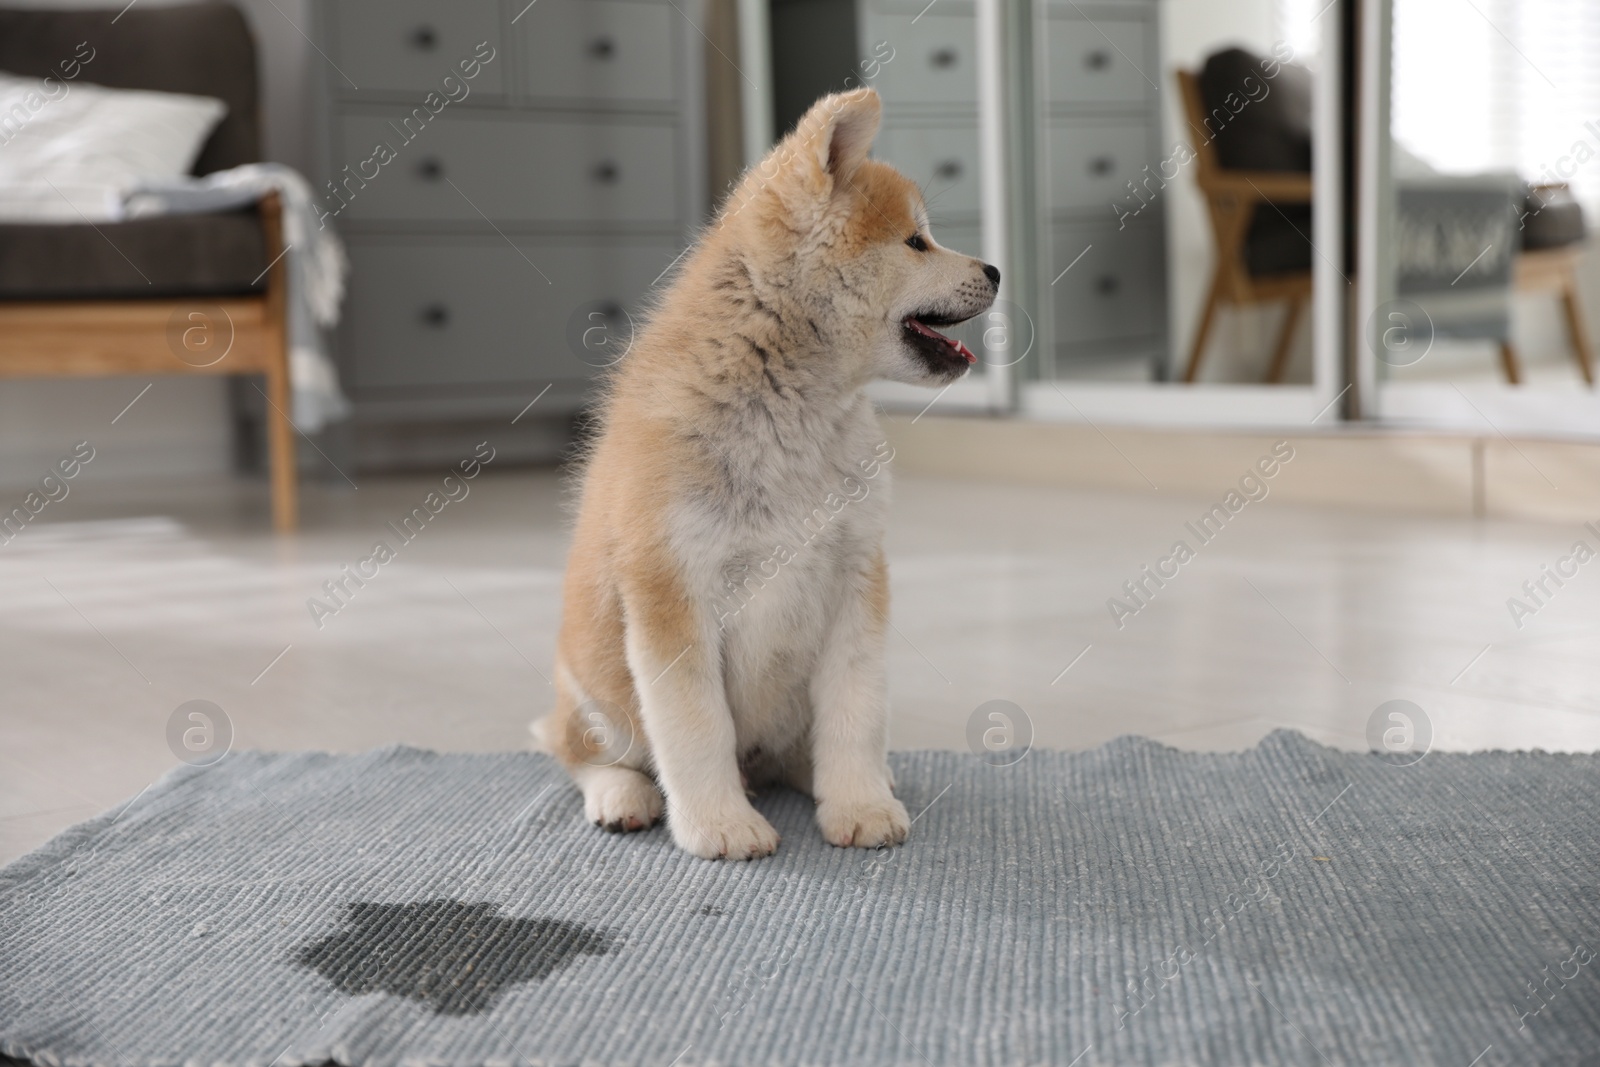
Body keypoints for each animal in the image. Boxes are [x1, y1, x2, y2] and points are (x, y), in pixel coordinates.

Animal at [531, 89, 992, 857]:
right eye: (917, 242)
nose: (994, 271)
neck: (791, 413)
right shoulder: (671, 592)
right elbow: (695, 729)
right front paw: (719, 824)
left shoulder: (855, 575)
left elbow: (856, 713)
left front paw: (860, 802)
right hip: (596, 694)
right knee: (582, 754)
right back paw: (622, 795)